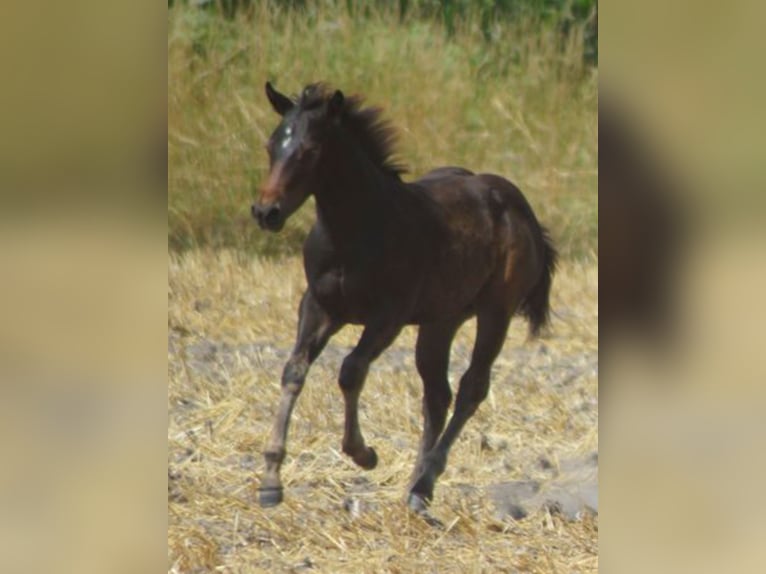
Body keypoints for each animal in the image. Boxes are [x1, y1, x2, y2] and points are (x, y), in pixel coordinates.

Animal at [251, 82, 557, 517]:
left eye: (309, 151)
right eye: (271, 144)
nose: (266, 211)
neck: (356, 230)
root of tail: (524, 211)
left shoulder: (387, 317)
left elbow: (351, 370)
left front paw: (363, 453)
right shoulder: (318, 307)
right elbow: (294, 370)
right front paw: (271, 481)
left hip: (495, 313)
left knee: (471, 387)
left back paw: (425, 480)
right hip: (441, 320)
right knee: (437, 394)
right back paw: (416, 488)